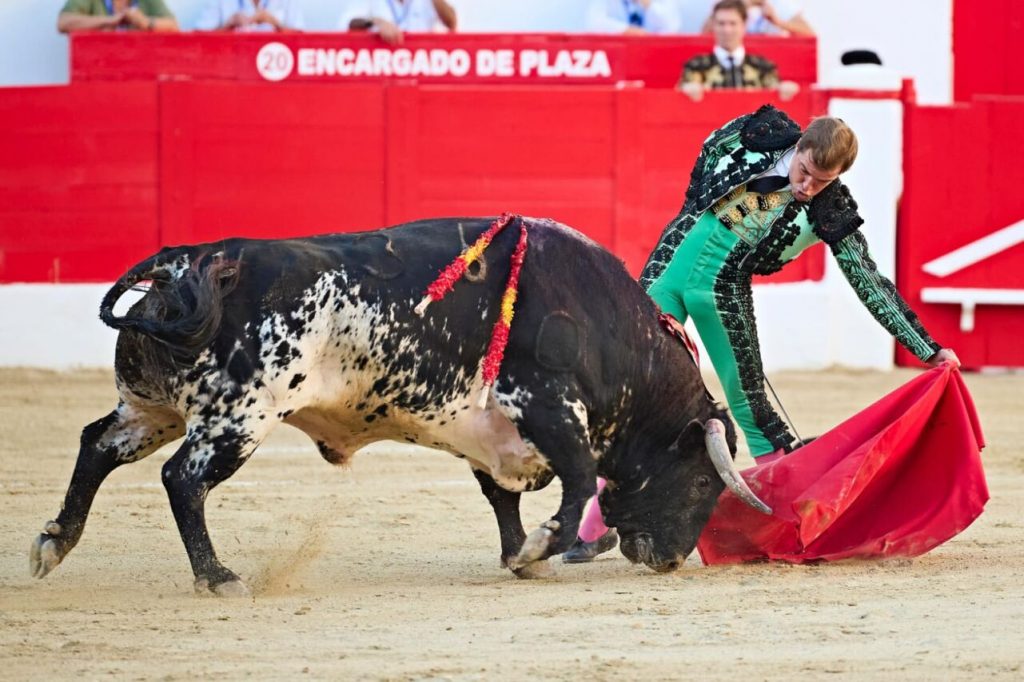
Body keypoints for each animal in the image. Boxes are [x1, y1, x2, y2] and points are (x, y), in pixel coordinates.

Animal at [29, 215, 770, 593]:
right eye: (702, 481)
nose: (669, 559)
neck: (602, 322)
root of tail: (192, 262)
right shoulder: (546, 406)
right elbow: (581, 480)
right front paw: (540, 547)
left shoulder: (490, 432)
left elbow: (500, 495)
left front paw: (517, 555)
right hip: (239, 416)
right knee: (182, 479)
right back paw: (217, 577)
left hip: (152, 409)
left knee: (97, 444)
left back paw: (53, 544)